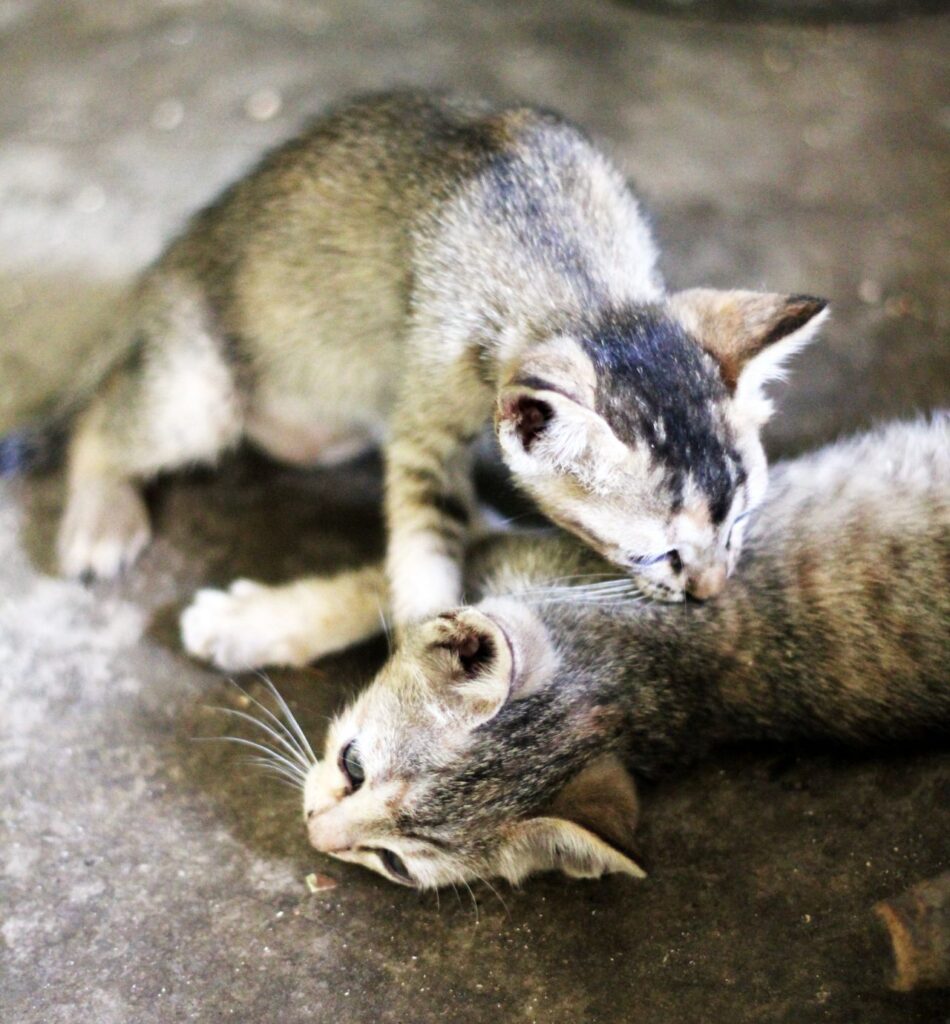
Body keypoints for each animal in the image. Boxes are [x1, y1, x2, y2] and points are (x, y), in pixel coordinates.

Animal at [3, 90, 823, 622]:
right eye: (656, 555)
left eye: (740, 524)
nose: (712, 594)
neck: (575, 277)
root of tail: (175, 253)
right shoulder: (426, 414)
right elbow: (427, 537)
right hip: (199, 390)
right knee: (102, 421)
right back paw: (99, 515)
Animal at [219, 415, 945, 888]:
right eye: (354, 765)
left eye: (392, 862)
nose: (312, 834)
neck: (642, 667)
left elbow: (393, 576)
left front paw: (243, 623)